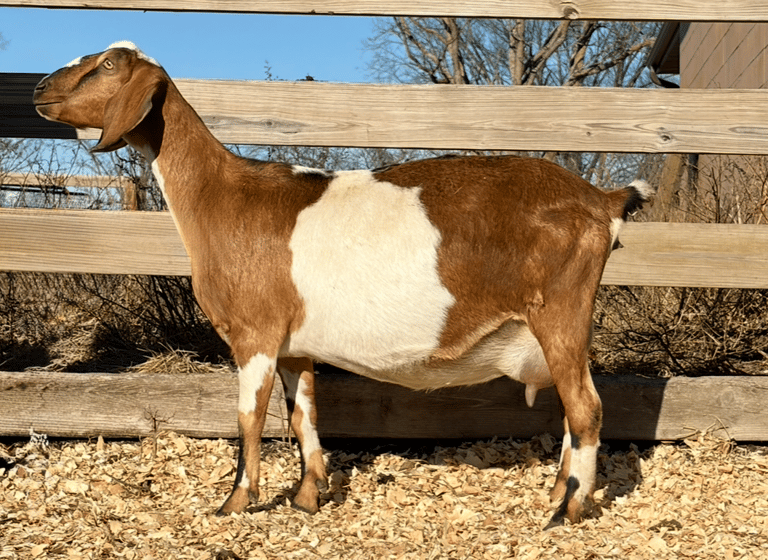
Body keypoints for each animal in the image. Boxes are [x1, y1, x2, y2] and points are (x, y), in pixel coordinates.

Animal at [34, 42, 654, 528]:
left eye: (107, 64)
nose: (38, 86)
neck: (224, 197)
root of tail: (602, 201)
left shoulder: (255, 334)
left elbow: (249, 418)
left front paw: (235, 503)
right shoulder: (293, 344)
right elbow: (301, 414)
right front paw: (307, 497)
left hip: (559, 311)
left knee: (587, 408)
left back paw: (568, 511)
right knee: (572, 409)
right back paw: (556, 492)